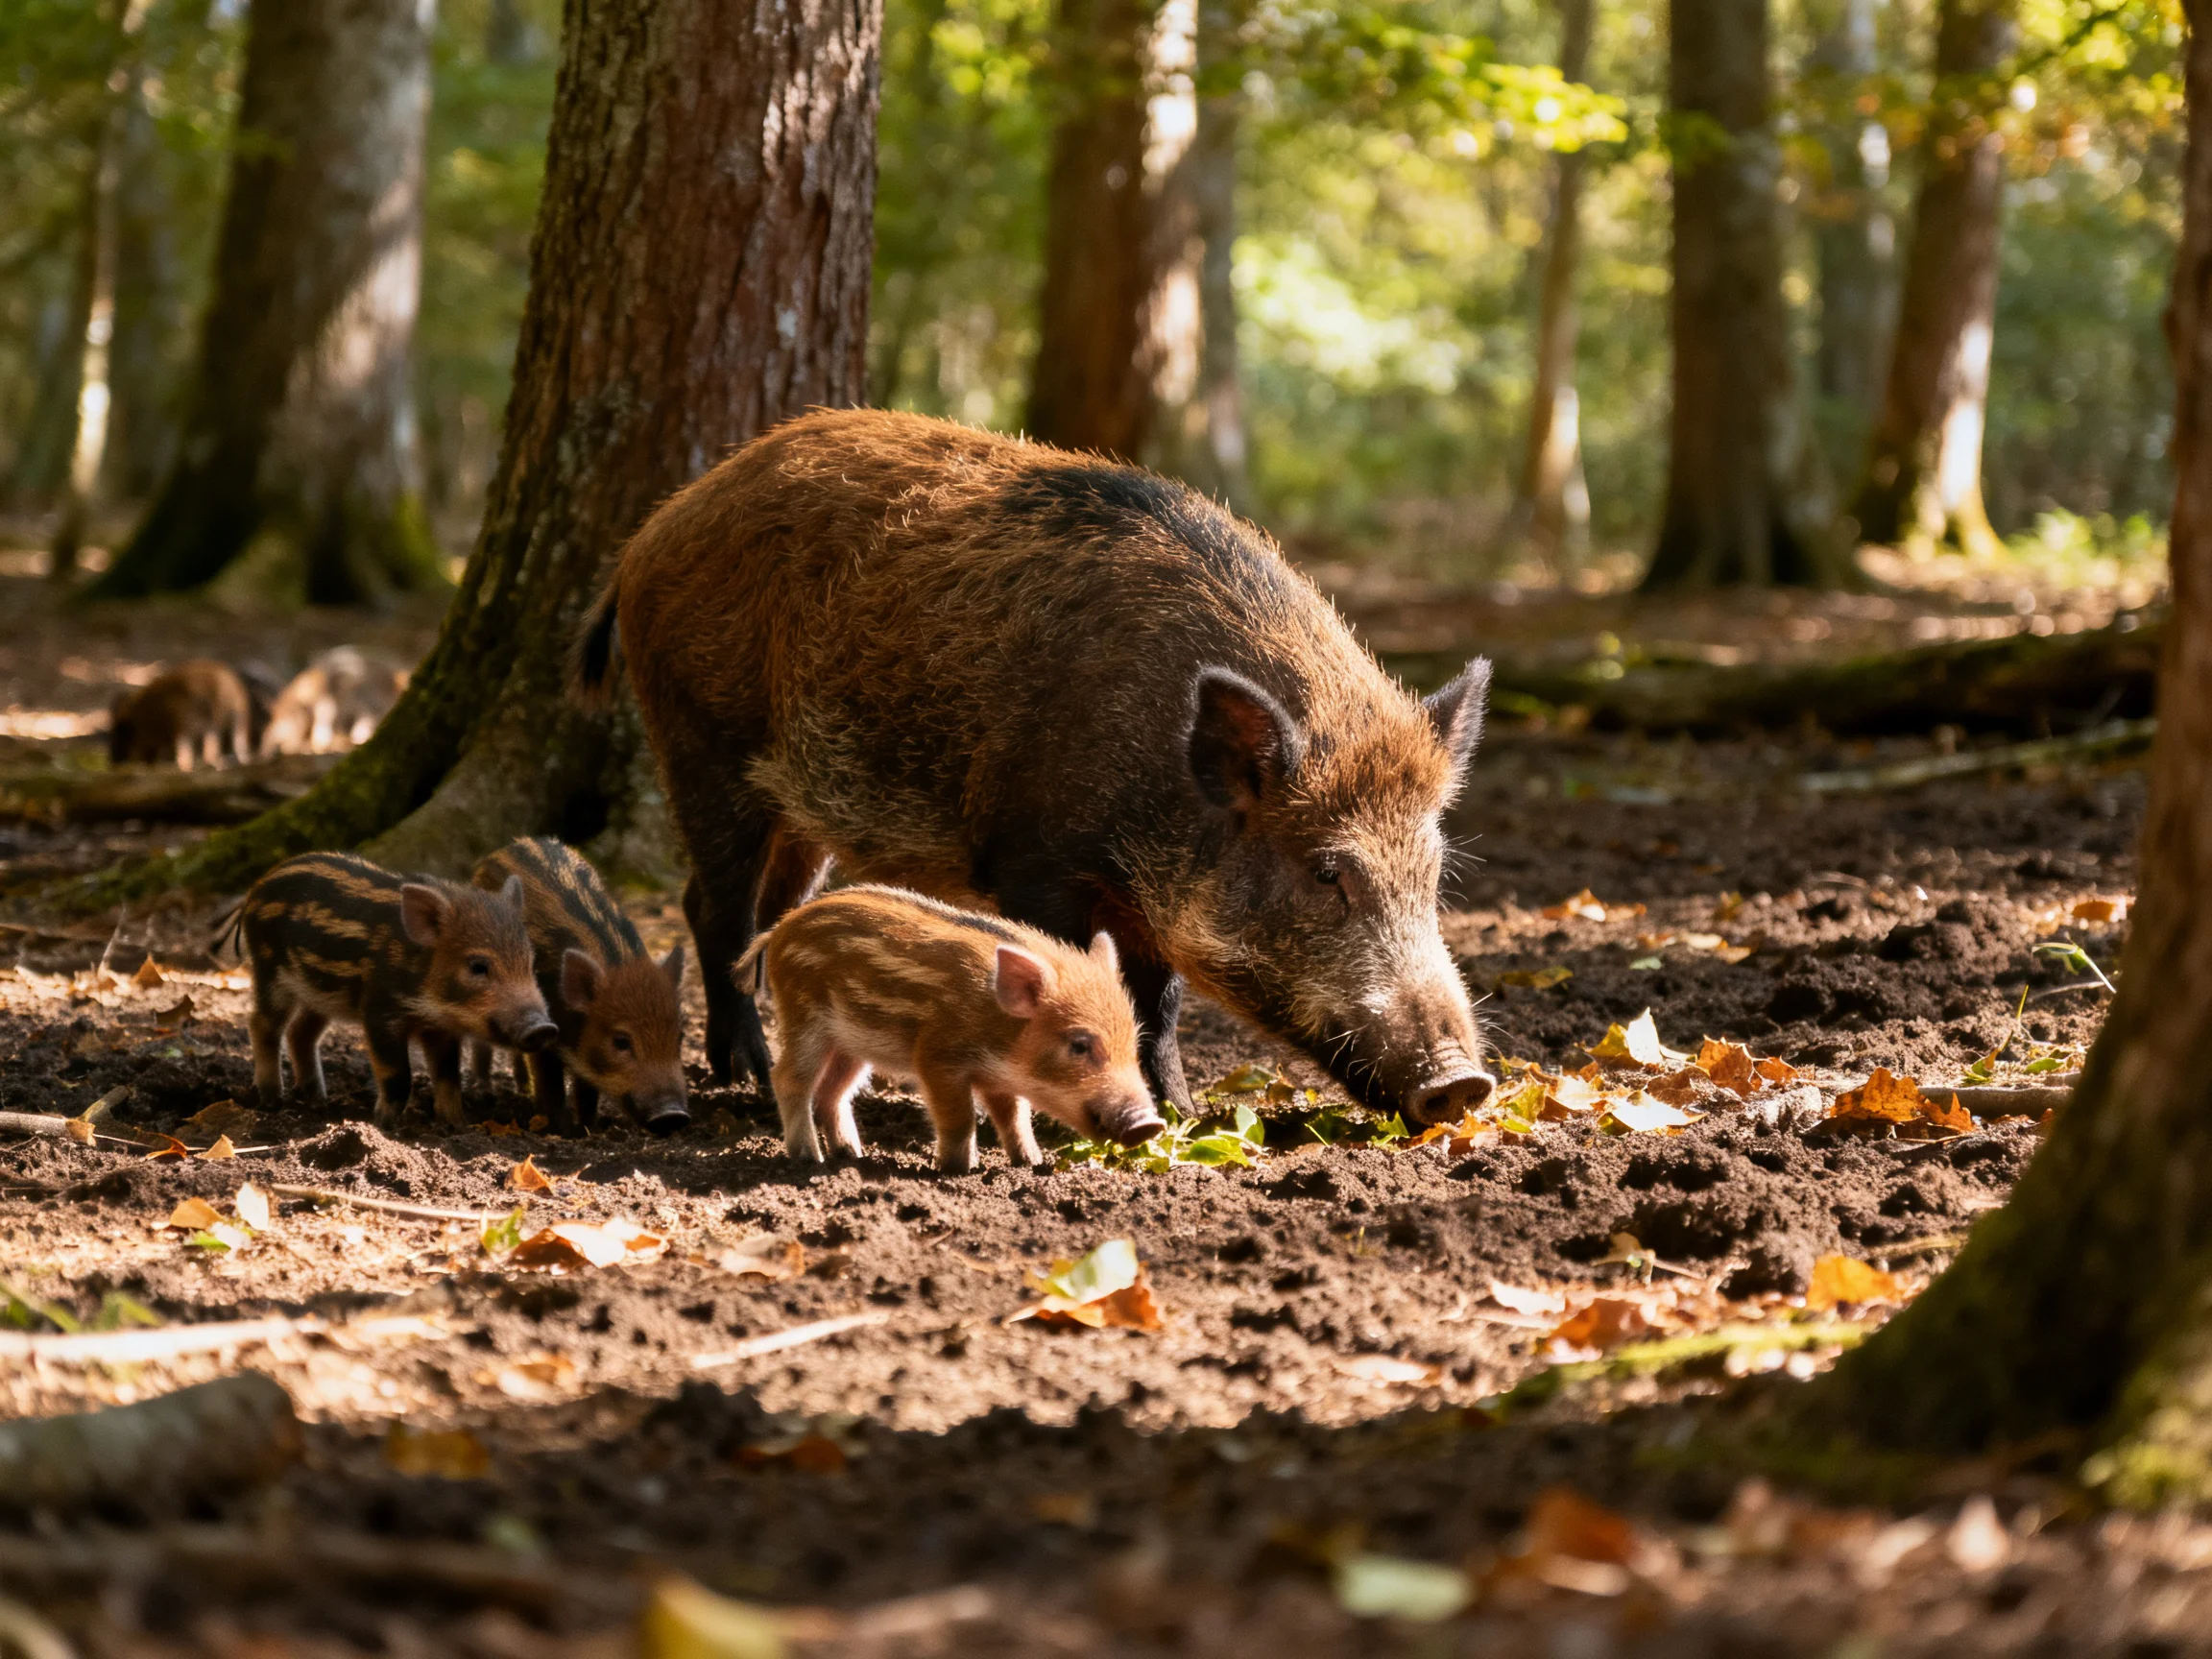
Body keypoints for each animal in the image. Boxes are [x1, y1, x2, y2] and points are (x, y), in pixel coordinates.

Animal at [232, 851, 557, 1130]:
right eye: (478, 966)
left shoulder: (441, 1028)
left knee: (300, 1032)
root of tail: (255, 889)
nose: (544, 1028)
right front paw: (384, 1126)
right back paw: (272, 1099)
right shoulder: (380, 1012)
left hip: (319, 993)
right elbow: (398, 1076)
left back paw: (317, 1098)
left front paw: (457, 1126)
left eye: (530, 962)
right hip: (269, 972)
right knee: (262, 1025)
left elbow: (448, 1077)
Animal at [466, 836, 689, 1137]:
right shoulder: (545, 1033)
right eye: (621, 1041)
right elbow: (553, 1086)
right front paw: (563, 1131)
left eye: (680, 1037)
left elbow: (586, 1091)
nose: (673, 1115)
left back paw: (523, 1089)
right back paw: (484, 1091)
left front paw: (588, 1128)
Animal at [575, 408, 1495, 1127]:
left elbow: (1158, 1003)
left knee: (770, 911)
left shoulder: (1145, 899)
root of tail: (647, 536)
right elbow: (1083, 976)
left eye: (1434, 875)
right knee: (713, 907)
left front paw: (1181, 1116)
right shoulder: (1034, 860)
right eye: (1326, 872)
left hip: (798, 807)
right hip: (700, 742)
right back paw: (744, 1077)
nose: (1464, 1084)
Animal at [734, 885, 1161, 1171]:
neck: (1001, 1031)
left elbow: (1014, 1116)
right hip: (804, 1021)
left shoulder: (998, 1078)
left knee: (831, 1094)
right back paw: (810, 1158)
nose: (1148, 1123)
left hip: (850, 1044)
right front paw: (958, 1169)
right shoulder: (937, 1057)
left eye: (1133, 1046)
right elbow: (961, 1117)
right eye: (1079, 1044)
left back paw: (852, 1155)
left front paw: (1031, 1163)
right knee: (788, 1078)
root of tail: (778, 930)